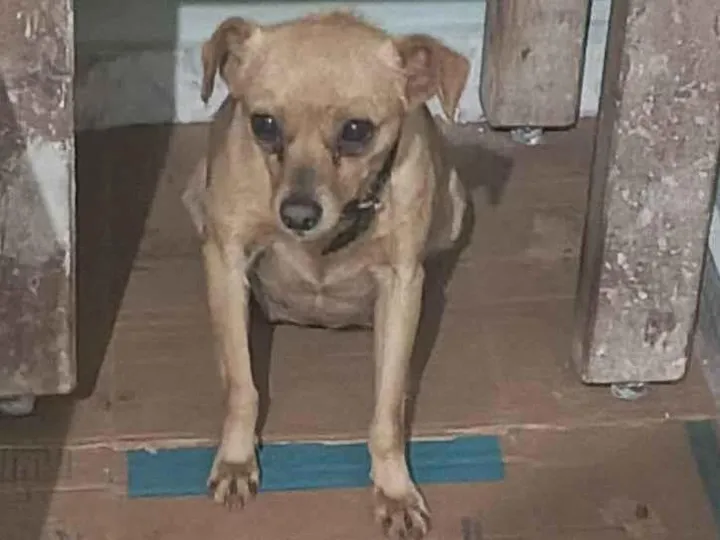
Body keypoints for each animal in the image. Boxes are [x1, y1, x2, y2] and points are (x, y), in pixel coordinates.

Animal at [183, 11, 469, 538]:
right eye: (264, 124)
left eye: (357, 130)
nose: (297, 213)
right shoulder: (226, 260)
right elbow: (241, 385)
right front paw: (236, 460)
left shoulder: (400, 286)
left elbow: (387, 410)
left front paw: (394, 490)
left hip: (455, 207)